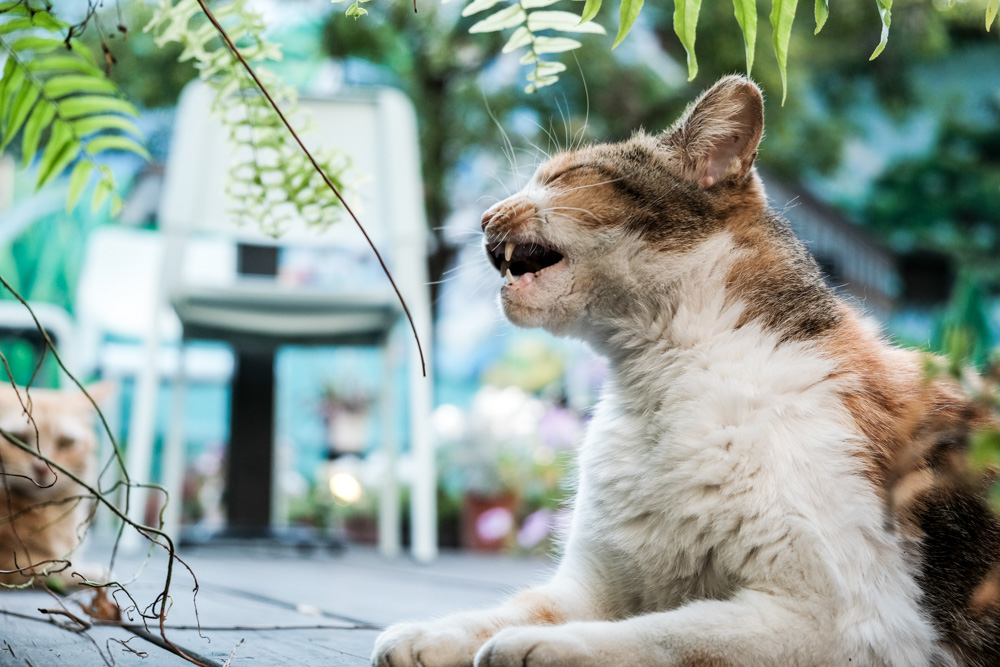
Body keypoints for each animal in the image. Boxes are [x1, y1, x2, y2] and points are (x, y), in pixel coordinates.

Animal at [0, 384, 112, 588]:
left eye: (65, 443)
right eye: (17, 439)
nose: (41, 468)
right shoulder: (12, 562)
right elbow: (49, 568)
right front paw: (95, 574)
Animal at [372, 75, 1000, 664]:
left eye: (565, 176)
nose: (482, 217)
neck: (657, 380)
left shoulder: (846, 622)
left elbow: (662, 633)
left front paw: (543, 647)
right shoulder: (594, 585)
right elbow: (514, 609)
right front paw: (426, 635)